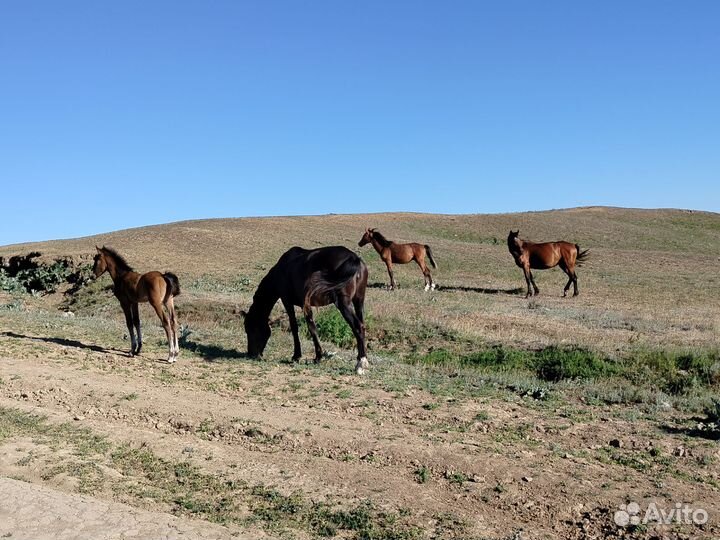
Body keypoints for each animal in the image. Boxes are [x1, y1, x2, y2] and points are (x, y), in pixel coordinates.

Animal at [242, 246, 370, 374]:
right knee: (362, 325)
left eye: (250, 329)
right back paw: (362, 359)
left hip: (344, 303)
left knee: (358, 326)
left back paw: (361, 363)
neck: (282, 270)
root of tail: (354, 258)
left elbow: (299, 327)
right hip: (359, 301)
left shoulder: (288, 301)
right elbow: (311, 327)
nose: (251, 354)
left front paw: (301, 356)